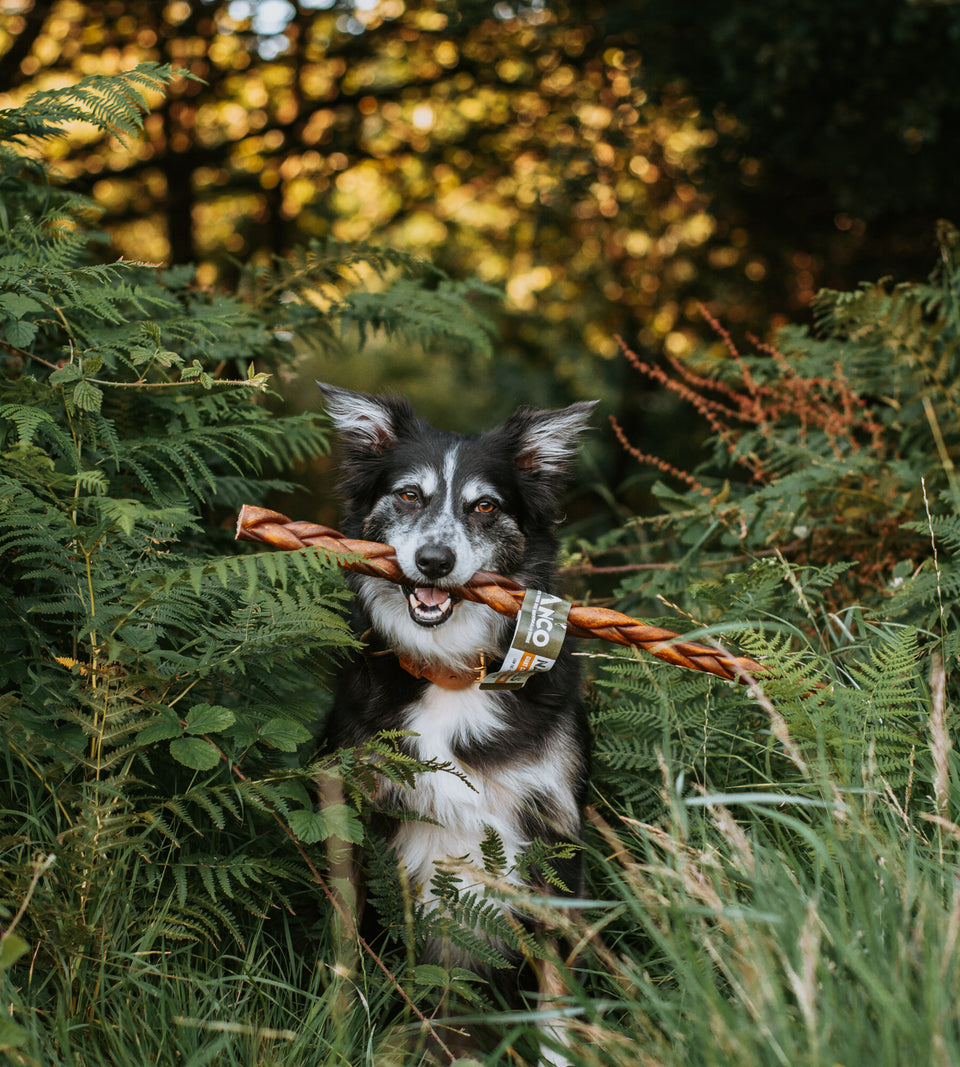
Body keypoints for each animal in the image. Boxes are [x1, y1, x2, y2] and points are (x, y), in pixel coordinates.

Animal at [317, 384, 597, 1058]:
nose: (435, 561)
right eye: (408, 495)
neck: (453, 675)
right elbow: (346, 959)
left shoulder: (556, 831)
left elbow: (555, 985)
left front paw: (557, 1054)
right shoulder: (357, 819)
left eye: (485, 506)